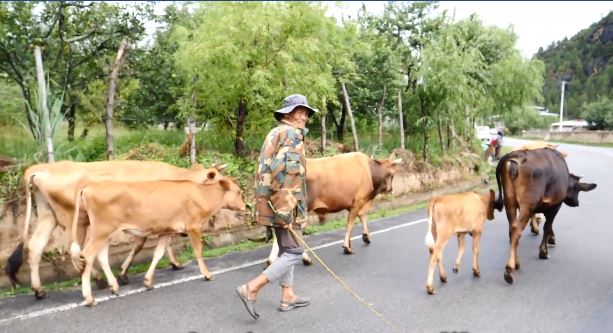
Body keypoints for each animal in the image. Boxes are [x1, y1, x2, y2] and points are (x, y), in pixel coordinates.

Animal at [5, 159, 225, 298]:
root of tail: (39, 169)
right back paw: (99, 279)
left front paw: (174, 263)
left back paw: (39, 290)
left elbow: (161, 242)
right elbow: (143, 244)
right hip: (76, 220)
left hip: (47, 216)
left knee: (35, 248)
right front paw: (125, 273)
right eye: (218, 180)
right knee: (74, 250)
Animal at [69, 176, 244, 306]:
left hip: (104, 233)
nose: (244, 207)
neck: (202, 195)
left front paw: (148, 281)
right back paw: (90, 298)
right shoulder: (193, 227)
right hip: (101, 231)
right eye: (238, 192)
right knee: (88, 255)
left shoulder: (166, 231)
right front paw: (207, 274)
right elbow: (198, 251)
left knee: (102, 257)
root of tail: (88, 187)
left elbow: (158, 254)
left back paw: (114, 287)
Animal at [264, 152, 400, 264]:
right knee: (294, 229)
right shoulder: (358, 201)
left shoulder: (355, 203)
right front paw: (347, 247)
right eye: (392, 174)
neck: (370, 171)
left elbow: (362, 217)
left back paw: (271, 260)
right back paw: (304, 258)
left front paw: (365, 237)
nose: (391, 189)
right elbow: (350, 224)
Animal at [492, 149, 596, 284]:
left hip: (510, 201)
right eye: (577, 188)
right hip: (527, 203)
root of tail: (513, 157)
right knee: (516, 230)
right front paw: (544, 252)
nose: (576, 203)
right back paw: (509, 269)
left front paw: (549, 237)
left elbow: (545, 223)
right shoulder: (556, 204)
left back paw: (516, 262)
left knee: (511, 229)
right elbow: (547, 225)